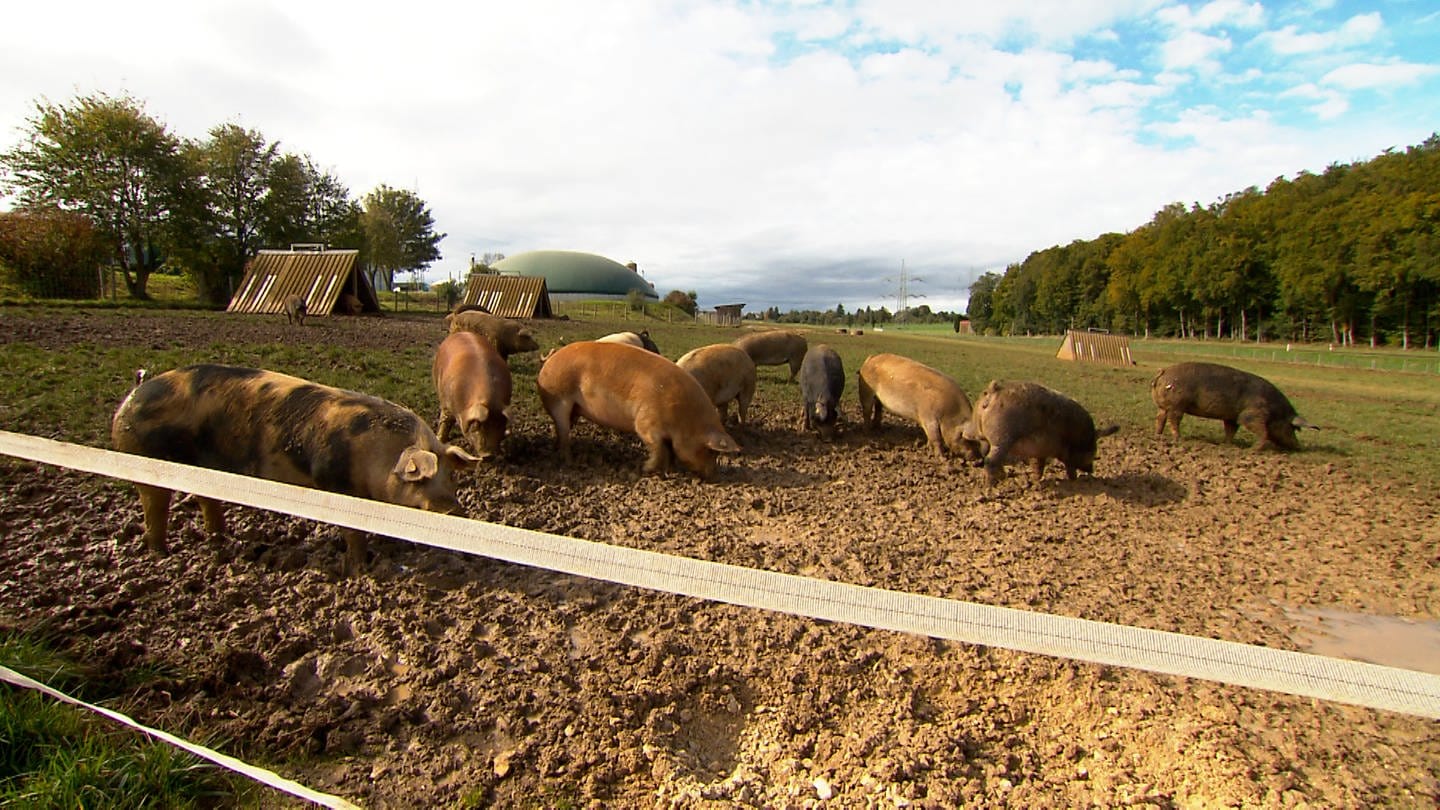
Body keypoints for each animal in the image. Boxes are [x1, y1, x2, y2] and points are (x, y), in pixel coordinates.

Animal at [109, 363, 478, 570]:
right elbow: (353, 531)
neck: (377, 457)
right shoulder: (331, 482)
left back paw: (220, 539)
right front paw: (360, 566)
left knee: (206, 500)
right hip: (147, 464)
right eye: (420, 478)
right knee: (155, 505)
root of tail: (133, 394)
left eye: (450, 476)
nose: (452, 509)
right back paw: (161, 553)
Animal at [432, 325, 512, 455]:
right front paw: (440, 440)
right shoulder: (447, 404)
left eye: (500, 424)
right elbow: (445, 421)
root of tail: (462, 333)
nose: (488, 455)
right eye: (476, 424)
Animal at [541, 337, 743, 475]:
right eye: (710, 452)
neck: (685, 419)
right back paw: (570, 462)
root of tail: (548, 362)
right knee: (563, 431)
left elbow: (669, 451)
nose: (713, 475)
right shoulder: (647, 423)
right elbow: (658, 449)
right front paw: (644, 469)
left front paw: (669, 470)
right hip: (559, 400)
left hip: (574, 409)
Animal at [961, 377, 1117, 481]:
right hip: (1003, 437)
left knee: (983, 451)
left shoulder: (1040, 451)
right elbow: (1070, 468)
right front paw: (1074, 480)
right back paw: (994, 483)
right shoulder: (1068, 454)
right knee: (990, 460)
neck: (1083, 438)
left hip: (983, 433)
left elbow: (1038, 465)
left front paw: (1036, 480)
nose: (1092, 470)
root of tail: (995, 391)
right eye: (1093, 451)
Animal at [1146, 363, 1319, 449]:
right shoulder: (1252, 414)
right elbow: (1260, 429)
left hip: (1164, 405)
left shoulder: (1231, 417)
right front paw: (1253, 450)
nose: (1299, 447)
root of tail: (1163, 371)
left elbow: (1231, 430)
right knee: (1173, 420)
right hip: (1177, 404)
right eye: (1293, 428)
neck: (1275, 412)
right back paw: (1178, 438)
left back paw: (1158, 435)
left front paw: (1227, 445)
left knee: (1160, 418)